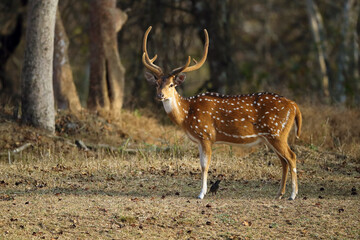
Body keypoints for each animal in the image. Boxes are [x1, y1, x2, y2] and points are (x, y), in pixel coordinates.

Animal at [142, 26, 302, 200]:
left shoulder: (206, 135)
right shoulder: (200, 140)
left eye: (171, 84)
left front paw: (201, 194)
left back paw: (293, 195)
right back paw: (279, 193)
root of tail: (294, 106)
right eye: (157, 83)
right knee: (284, 160)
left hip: (277, 132)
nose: (160, 95)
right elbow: (201, 164)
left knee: (291, 157)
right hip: (272, 136)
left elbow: (205, 165)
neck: (187, 115)